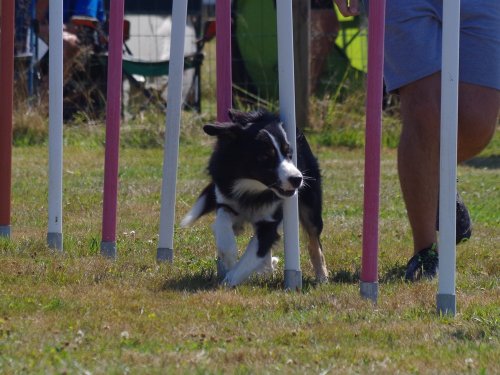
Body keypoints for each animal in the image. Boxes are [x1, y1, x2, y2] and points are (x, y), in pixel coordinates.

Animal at [180, 110, 328, 286]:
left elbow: (253, 254)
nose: (298, 179)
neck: (252, 186)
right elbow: (223, 225)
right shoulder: (226, 199)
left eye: (289, 154)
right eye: (265, 156)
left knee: (314, 241)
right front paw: (229, 255)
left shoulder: (270, 222)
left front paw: (229, 280)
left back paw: (322, 277)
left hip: (311, 207)